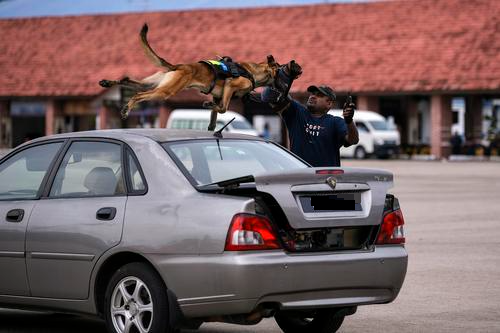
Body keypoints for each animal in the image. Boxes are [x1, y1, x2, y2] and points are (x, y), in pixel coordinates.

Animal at [98, 23, 300, 130]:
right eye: (281, 69)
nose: (286, 93)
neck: (253, 72)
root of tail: (178, 66)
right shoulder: (230, 87)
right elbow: (223, 109)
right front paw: (208, 105)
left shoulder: (219, 95)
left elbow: (215, 116)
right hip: (165, 91)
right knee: (138, 95)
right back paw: (126, 109)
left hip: (153, 83)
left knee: (127, 81)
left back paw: (107, 82)